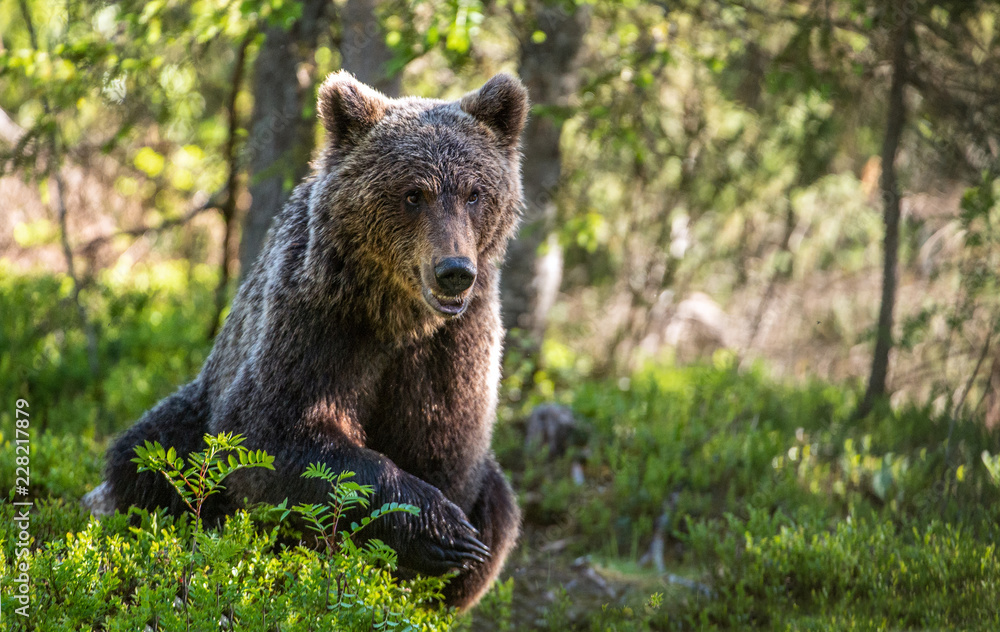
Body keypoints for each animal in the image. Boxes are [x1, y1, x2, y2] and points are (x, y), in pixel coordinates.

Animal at [93, 71, 529, 610]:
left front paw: (444, 548)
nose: (454, 271)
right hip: (190, 416)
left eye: (474, 192)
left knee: (501, 508)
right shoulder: (317, 320)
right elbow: (274, 431)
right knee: (146, 457)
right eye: (413, 194)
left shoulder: (453, 346)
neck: (396, 313)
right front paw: (438, 528)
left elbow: (446, 447)